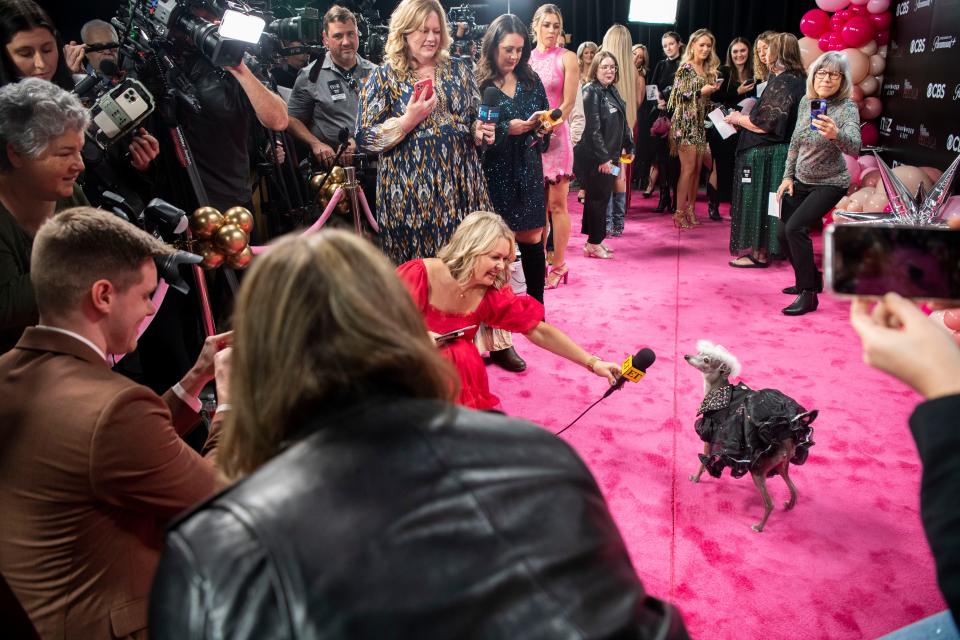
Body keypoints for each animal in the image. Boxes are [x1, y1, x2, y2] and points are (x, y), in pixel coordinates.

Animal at [684, 342, 816, 532]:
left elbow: (703, 462)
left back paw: (759, 527)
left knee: (769, 504)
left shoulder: (708, 438)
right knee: (794, 489)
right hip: (781, 467)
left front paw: (696, 478)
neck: (718, 390)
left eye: (706, 359)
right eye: (698, 353)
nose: (686, 356)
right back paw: (789, 506)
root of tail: (788, 440)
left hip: (758, 471)